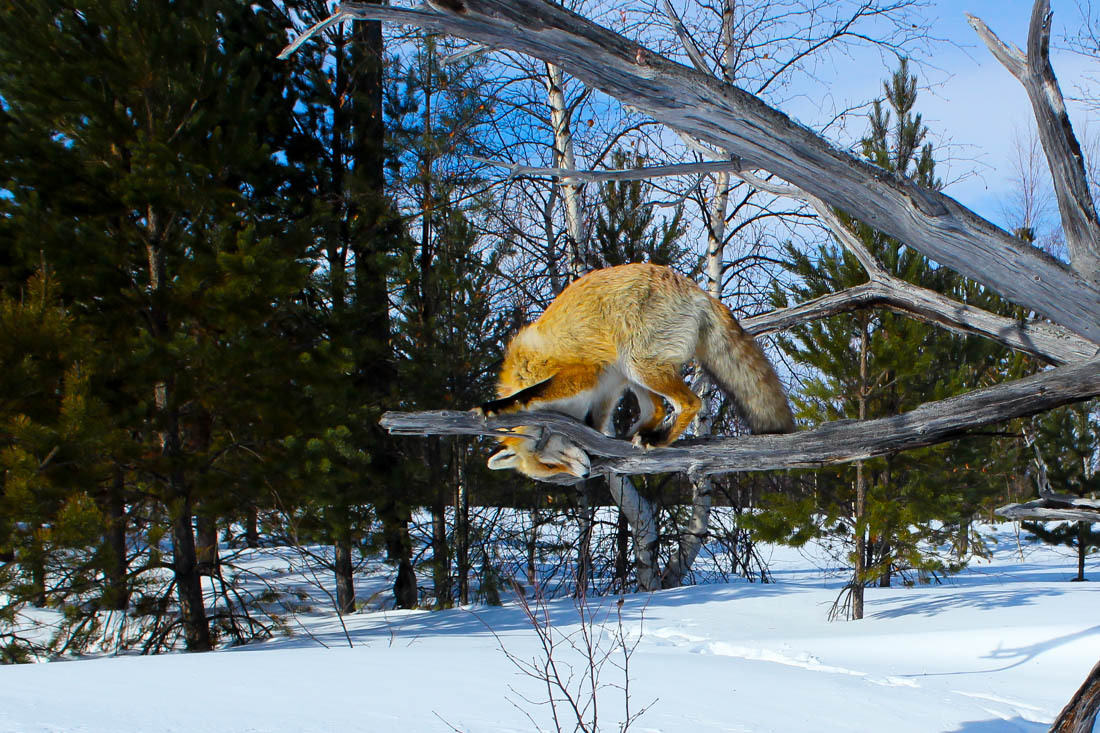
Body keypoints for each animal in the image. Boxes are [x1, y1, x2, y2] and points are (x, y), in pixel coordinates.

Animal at [477, 263, 796, 479]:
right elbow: (599, 421)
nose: (583, 475)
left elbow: (528, 395)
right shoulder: (606, 385)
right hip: (630, 370)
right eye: (552, 469)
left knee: (690, 402)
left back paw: (659, 439)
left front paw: (497, 406)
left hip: (638, 364)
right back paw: (638, 435)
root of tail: (696, 289)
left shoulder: (585, 373)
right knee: (657, 408)